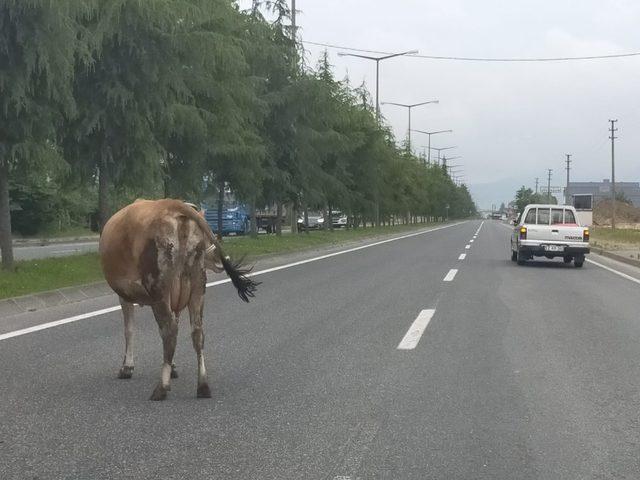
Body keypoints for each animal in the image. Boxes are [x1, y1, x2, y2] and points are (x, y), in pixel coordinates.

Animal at [98, 199, 258, 402]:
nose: (221, 259)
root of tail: (173, 204)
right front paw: (172, 367)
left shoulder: (124, 295)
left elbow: (129, 330)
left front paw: (127, 368)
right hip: (198, 286)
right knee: (197, 333)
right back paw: (203, 386)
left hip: (159, 288)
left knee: (169, 332)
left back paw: (161, 388)